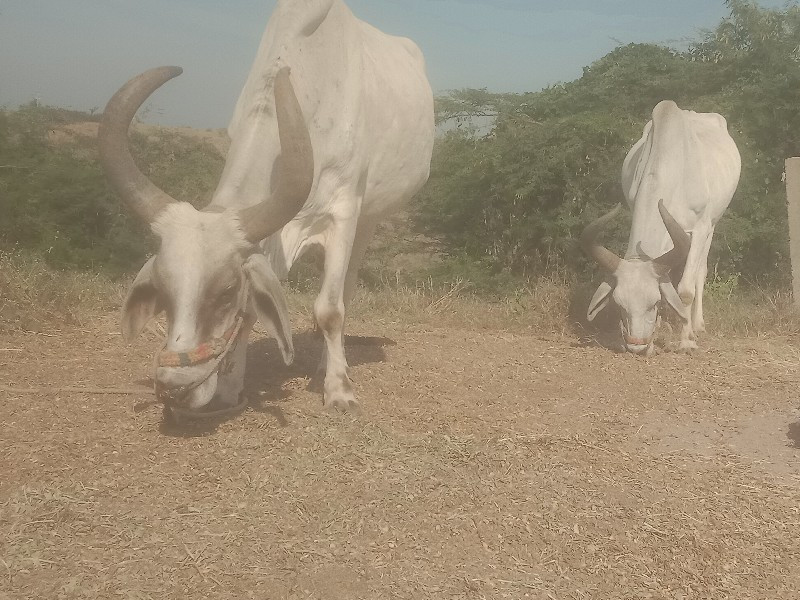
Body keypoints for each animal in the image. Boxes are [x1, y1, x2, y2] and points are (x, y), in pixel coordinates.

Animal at [102, 0, 438, 418]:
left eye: (226, 291)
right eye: (162, 288)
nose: (173, 389)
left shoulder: (344, 211)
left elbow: (330, 310)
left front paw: (339, 390)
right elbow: (252, 312)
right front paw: (230, 389)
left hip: (369, 219)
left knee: (346, 289)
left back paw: (329, 366)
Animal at [580, 101, 744, 356]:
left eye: (655, 302)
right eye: (619, 305)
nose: (636, 345)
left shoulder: (700, 228)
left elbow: (685, 290)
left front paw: (686, 340)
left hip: (712, 224)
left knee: (700, 271)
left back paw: (697, 325)